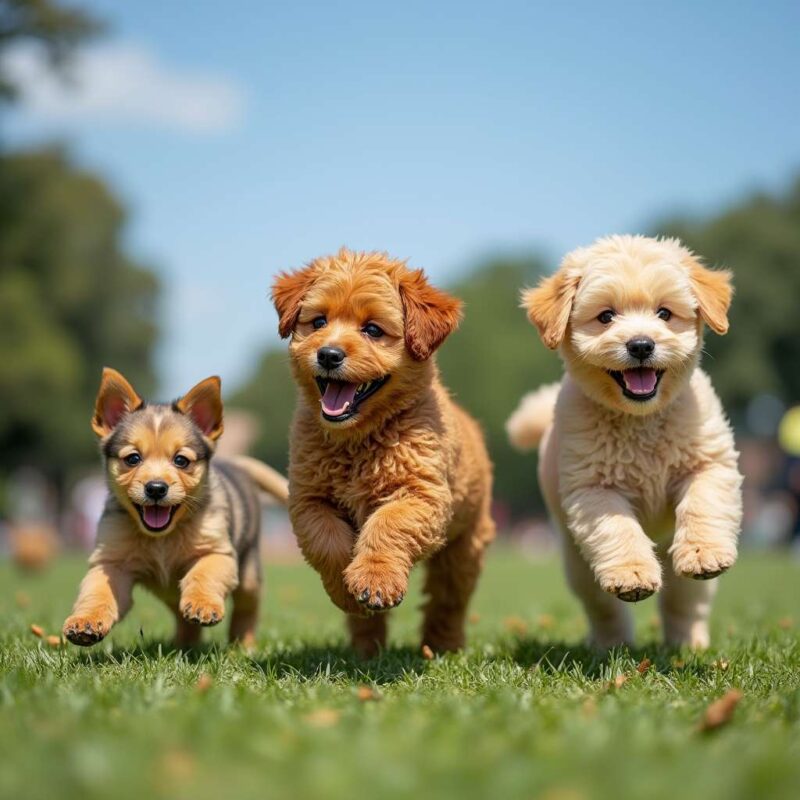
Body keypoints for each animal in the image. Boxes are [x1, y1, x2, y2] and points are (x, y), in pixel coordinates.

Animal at [63, 368, 288, 648]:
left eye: (181, 460)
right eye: (133, 458)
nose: (156, 488)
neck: (162, 538)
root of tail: (236, 464)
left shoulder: (218, 553)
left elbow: (202, 575)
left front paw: (202, 605)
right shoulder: (111, 563)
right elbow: (97, 592)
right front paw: (86, 622)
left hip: (248, 575)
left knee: (248, 609)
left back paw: (243, 644)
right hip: (171, 595)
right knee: (182, 617)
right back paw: (184, 644)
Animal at [274, 248, 494, 656]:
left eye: (373, 329)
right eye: (318, 321)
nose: (328, 354)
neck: (358, 441)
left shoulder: (421, 493)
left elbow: (387, 525)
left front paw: (375, 579)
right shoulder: (309, 499)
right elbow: (328, 542)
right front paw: (348, 592)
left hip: (464, 546)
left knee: (448, 601)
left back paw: (442, 646)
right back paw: (366, 648)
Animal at [506, 234, 744, 648]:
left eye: (664, 313)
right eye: (605, 316)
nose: (641, 345)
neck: (640, 421)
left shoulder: (709, 462)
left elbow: (703, 502)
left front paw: (704, 553)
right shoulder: (593, 488)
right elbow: (619, 529)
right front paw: (632, 576)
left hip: (681, 573)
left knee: (683, 603)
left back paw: (689, 642)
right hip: (578, 565)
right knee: (604, 610)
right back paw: (611, 646)